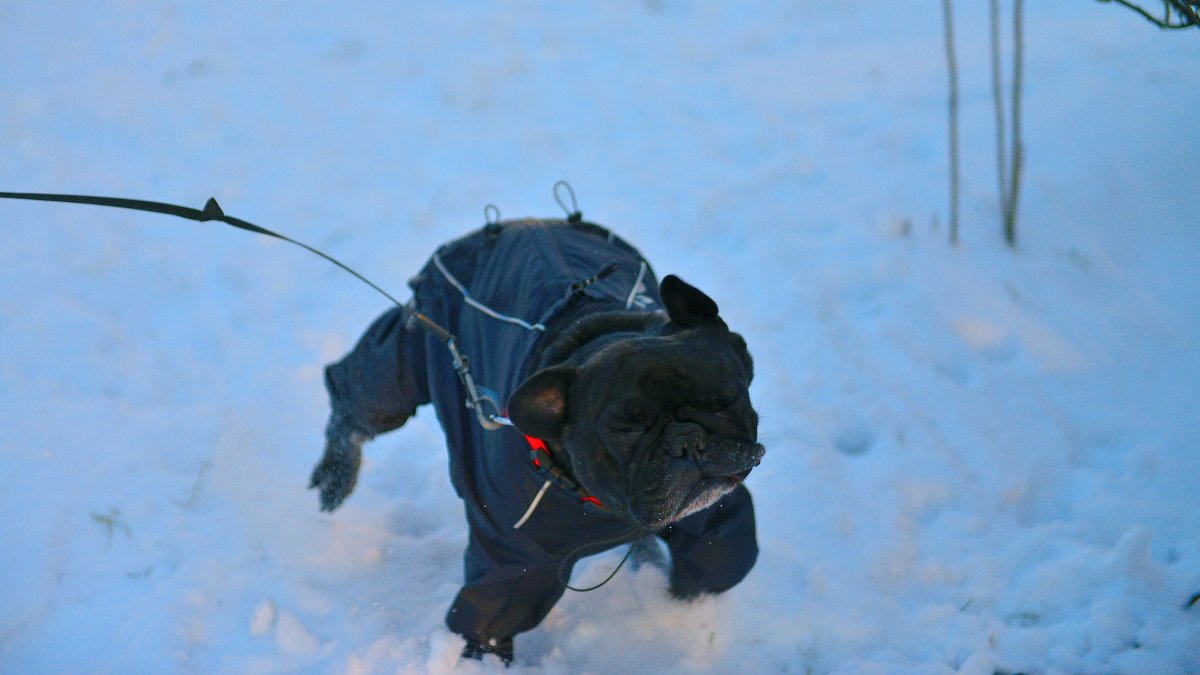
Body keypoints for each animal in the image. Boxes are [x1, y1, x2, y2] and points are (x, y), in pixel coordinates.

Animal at [309, 216, 758, 662]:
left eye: (727, 399)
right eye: (626, 431)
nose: (688, 440)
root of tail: (516, 222)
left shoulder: (714, 519)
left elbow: (716, 564)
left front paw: (685, 620)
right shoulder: (513, 561)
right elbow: (490, 619)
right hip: (409, 351)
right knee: (360, 400)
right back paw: (335, 477)